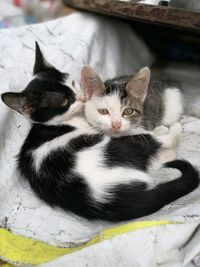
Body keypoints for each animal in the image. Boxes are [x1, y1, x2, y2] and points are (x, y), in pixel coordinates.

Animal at [1, 45, 198, 223]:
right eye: (64, 101)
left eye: (73, 84)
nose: (81, 97)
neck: (58, 123)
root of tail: (104, 199)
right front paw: (161, 129)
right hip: (119, 147)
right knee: (156, 142)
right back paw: (169, 130)